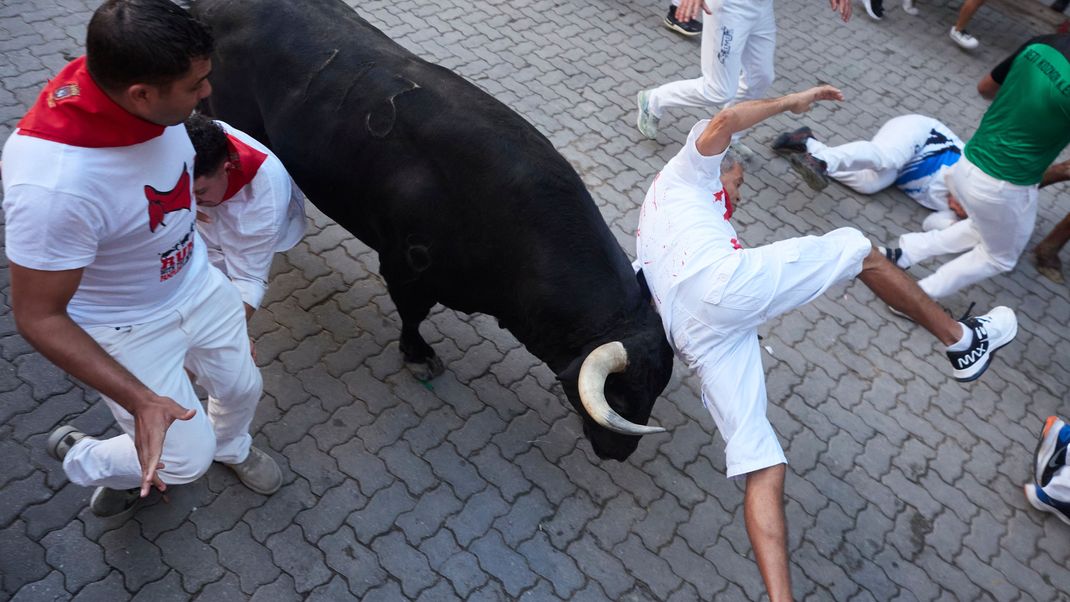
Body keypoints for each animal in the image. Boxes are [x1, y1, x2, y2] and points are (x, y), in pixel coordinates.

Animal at [194, 0, 667, 461]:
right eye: (619, 397)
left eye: (655, 392)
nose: (620, 452)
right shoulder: (404, 267)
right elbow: (413, 314)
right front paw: (418, 355)